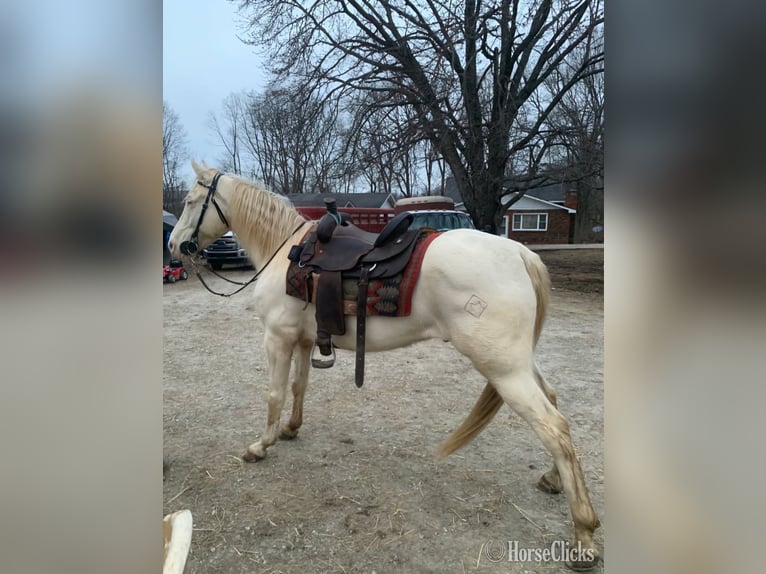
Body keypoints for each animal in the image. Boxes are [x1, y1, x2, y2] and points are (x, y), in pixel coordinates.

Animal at [168, 161, 601, 569]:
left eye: (189, 201)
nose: (174, 245)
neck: (286, 249)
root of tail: (520, 253)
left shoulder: (277, 338)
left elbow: (274, 393)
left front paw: (261, 445)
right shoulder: (303, 339)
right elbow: (298, 387)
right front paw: (291, 429)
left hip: (504, 370)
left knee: (553, 428)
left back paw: (584, 536)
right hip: (518, 363)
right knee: (554, 404)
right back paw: (553, 480)